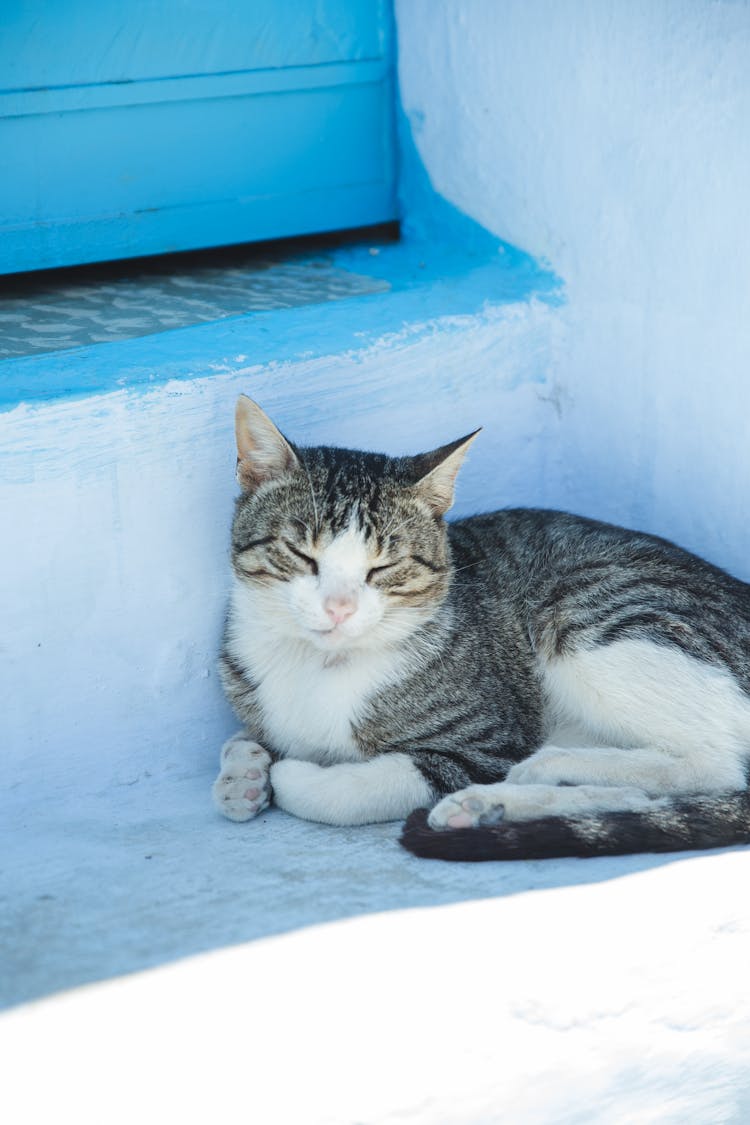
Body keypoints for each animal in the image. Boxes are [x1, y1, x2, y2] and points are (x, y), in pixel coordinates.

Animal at [211, 398, 750, 859]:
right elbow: (245, 737)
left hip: (588, 612)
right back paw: (495, 807)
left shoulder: (488, 742)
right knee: (642, 799)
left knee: (719, 768)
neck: (315, 665)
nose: (339, 607)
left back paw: (543, 771)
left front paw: (290, 777)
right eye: (302, 555)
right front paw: (243, 772)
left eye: (384, 568)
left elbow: (366, 787)